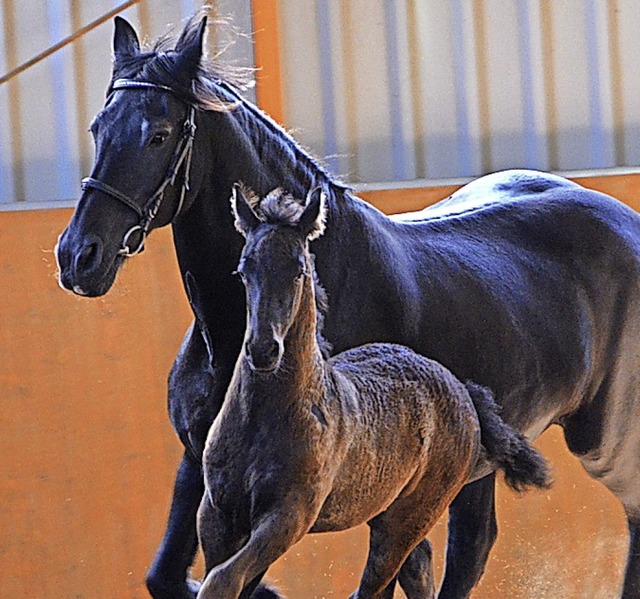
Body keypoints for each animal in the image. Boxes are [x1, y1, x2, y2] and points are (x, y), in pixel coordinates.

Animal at [56, 14, 640, 599]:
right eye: (97, 128)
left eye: (159, 134)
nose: (79, 256)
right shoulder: (199, 466)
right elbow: (168, 576)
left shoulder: (295, 499)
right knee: (471, 548)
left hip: (605, 444)